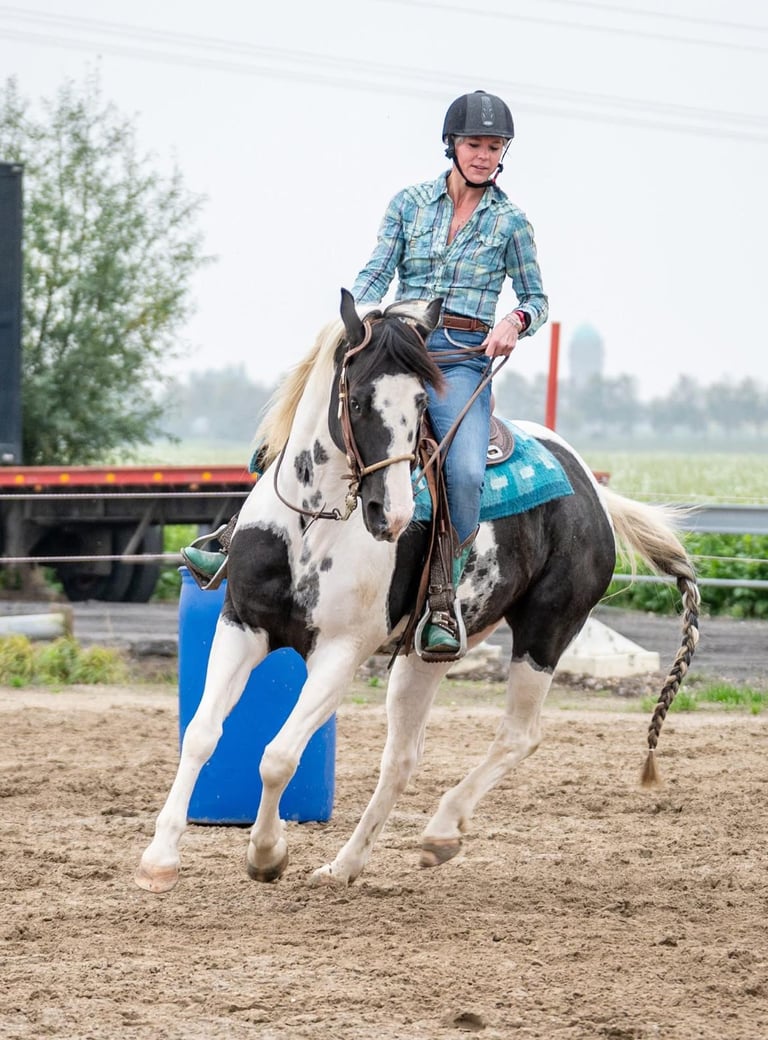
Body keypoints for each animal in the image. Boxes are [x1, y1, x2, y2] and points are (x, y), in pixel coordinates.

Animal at [135, 290, 699, 892]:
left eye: (422, 402)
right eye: (359, 400)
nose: (394, 514)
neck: (314, 521)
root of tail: (593, 490)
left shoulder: (340, 653)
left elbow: (278, 755)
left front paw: (266, 854)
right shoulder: (241, 623)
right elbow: (202, 732)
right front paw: (160, 859)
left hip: (546, 632)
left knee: (519, 735)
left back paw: (440, 831)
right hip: (423, 658)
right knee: (402, 759)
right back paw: (345, 864)